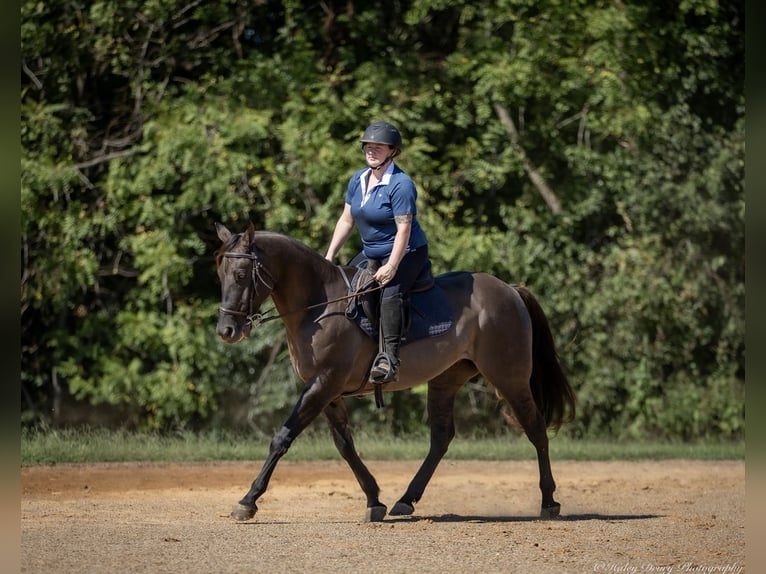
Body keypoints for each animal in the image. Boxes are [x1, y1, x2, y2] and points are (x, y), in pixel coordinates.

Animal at [215, 222, 576, 522]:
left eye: (242, 274)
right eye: (220, 273)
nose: (227, 330)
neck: (320, 306)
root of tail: (511, 290)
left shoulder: (323, 384)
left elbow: (283, 437)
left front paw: (248, 501)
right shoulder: (327, 391)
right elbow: (344, 445)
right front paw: (374, 499)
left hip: (510, 378)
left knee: (535, 428)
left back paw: (549, 501)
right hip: (447, 379)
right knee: (441, 438)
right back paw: (407, 499)